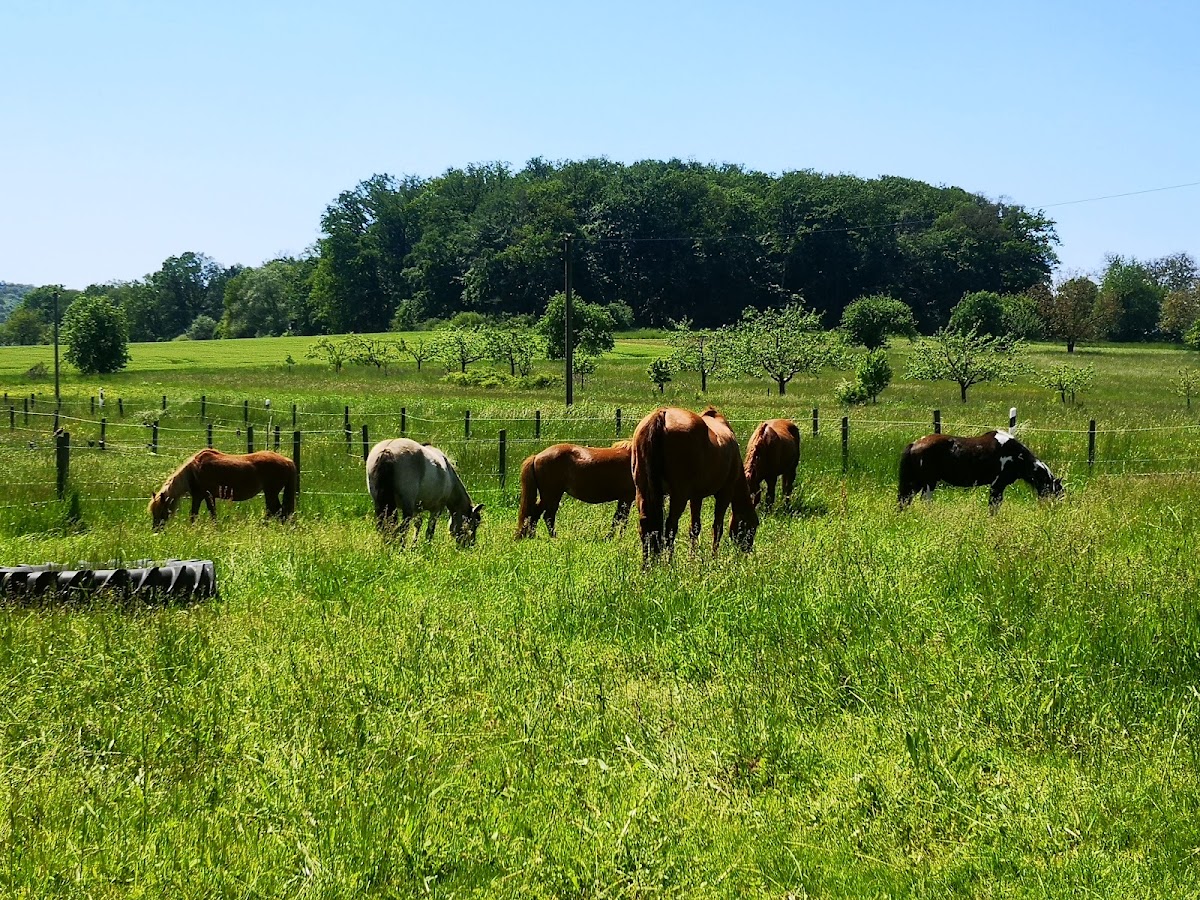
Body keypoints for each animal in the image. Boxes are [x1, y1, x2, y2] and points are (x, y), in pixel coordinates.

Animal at [148, 448, 297, 529]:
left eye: (161, 511)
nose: (156, 530)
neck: (193, 470)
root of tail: (288, 461)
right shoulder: (205, 497)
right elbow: (208, 513)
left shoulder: (203, 496)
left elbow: (197, 514)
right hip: (271, 493)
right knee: (278, 512)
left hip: (271, 492)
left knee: (275, 511)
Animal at [631, 406, 759, 562]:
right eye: (753, 525)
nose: (747, 552)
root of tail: (662, 413)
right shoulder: (725, 493)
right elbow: (717, 527)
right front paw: (714, 557)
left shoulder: (696, 496)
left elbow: (694, 528)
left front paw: (692, 558)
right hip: (679, 495)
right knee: (670, 527)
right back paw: (669, 562)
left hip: (642, 491)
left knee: (645, 525)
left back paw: (647, 564)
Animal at [898, 430, 1064, 512]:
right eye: (1058, 493)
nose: (1054, 511)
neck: (1017, 456)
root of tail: (915, 444)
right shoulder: (997, 486)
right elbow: (994, 507)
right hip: (928, 484)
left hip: (916, 483)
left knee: (905, 500)